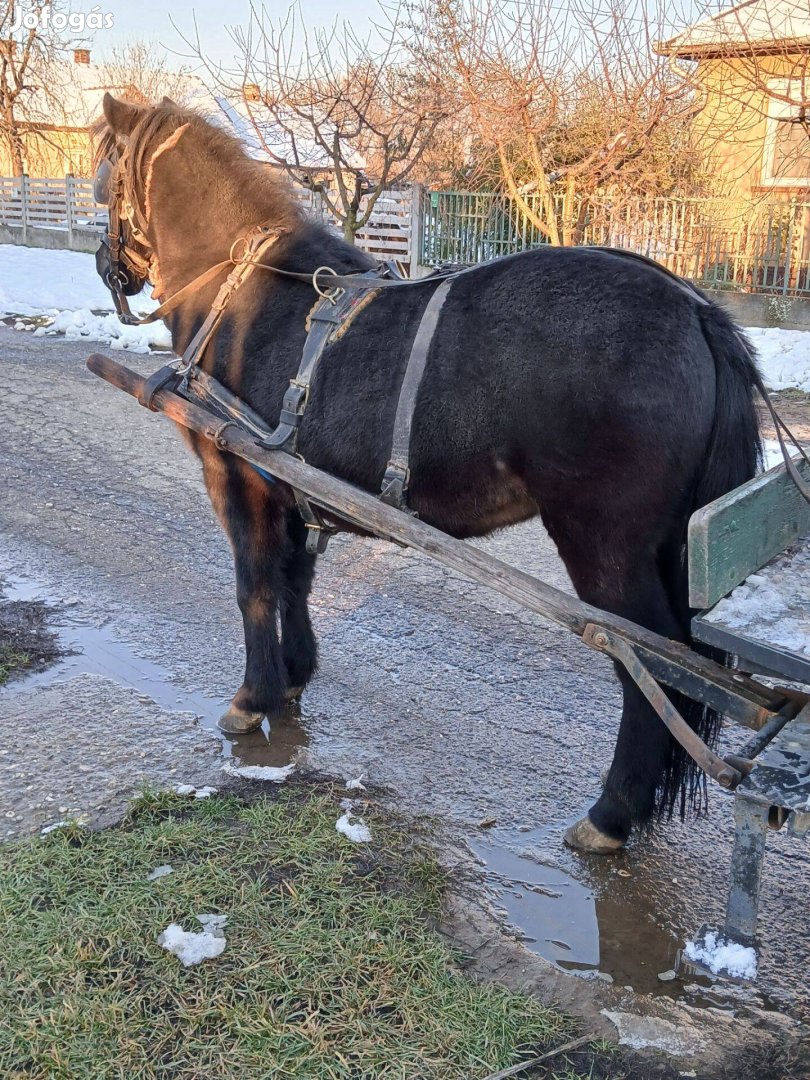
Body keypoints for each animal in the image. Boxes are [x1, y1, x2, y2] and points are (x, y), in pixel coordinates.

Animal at [91, 95, 764, 851]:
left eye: (101, 173)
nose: (109, 268)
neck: (250, 292)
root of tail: (698, 311)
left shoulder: (240, 476)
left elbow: (254, 586)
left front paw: (252, 697)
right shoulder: (294, 483)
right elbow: (295, 580)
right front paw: (293, 678)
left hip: (608, 552)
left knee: (656, 673)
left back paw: (612, 812)